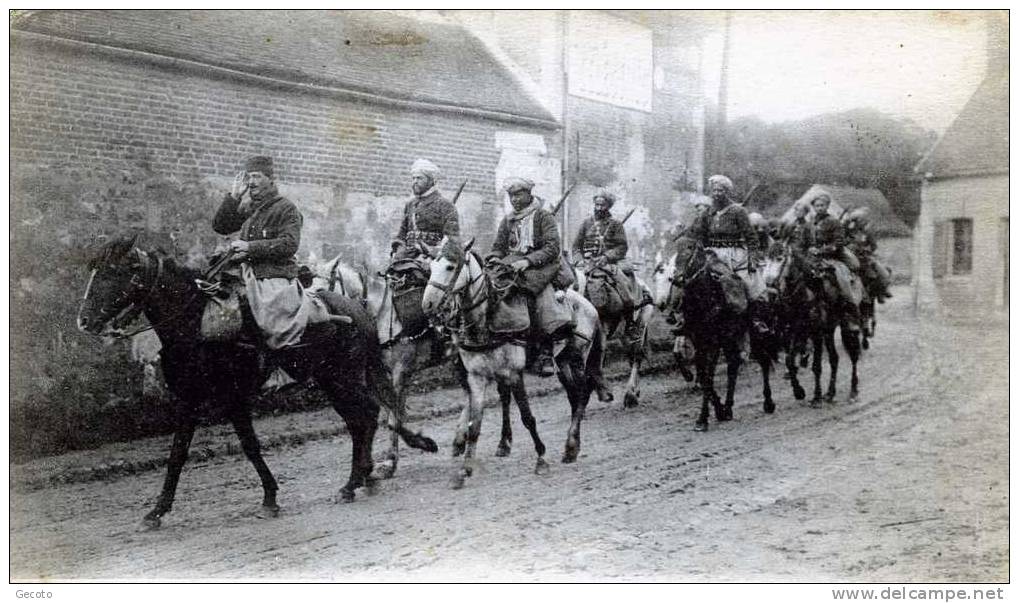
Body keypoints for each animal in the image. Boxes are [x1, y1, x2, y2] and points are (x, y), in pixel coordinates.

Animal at [74, 234, 434, 529]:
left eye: (112, 272)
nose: (84, 320)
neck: (196, 324)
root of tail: (358, 309)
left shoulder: (233, 398)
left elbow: (249, 446)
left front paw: (270, 498)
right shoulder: (189, 401)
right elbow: (177, 454)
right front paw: (157, 511)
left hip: (342, 378)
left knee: (368, 415)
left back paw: (355, 481)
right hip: (331, 382)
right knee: (360, 420)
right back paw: (363, 478)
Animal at [421, 236, 603, 488]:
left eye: (450, 267)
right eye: (430, 267)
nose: (427, 305)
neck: (487, 319)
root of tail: (587, 304)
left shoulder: (514, 373)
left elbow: (527, 417)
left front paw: (541, 459)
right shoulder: (477, 377)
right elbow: (475, 424)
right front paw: (464, 469)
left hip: (577, 357)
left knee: (583, 393)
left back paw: (570, 445)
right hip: (563, 362)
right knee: (575, 396)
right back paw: (572, 447)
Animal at [574, 260, 652, 407]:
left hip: (639, 329)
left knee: (637, 357)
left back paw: (630, 395)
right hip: (625, 337)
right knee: (632, 358)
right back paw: (635, 391)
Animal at [656, 238, 774, 431]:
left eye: (690, 249)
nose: (677, 278)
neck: (704, 301)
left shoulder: (713, 344)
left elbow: (708, 376)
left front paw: (703, 418)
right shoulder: (699, 343)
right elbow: (704, 377)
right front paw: (717, 410)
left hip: (754, 337)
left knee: (763, 361)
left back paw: (768, 402)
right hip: (730, 340)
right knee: (733, 366)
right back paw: (728, 407)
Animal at [766, 244, 860, 405]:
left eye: (780, 258)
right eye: (765, 259)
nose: (769, 285)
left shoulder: (816, 334)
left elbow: (816, 366)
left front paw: (816, 397)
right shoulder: (793, 331)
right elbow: (789, 361)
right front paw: (799, 392)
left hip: (846, 327)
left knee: (853, 355)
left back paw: (853, 392)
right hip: (828, 331)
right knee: (834, 358)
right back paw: (830, 393)